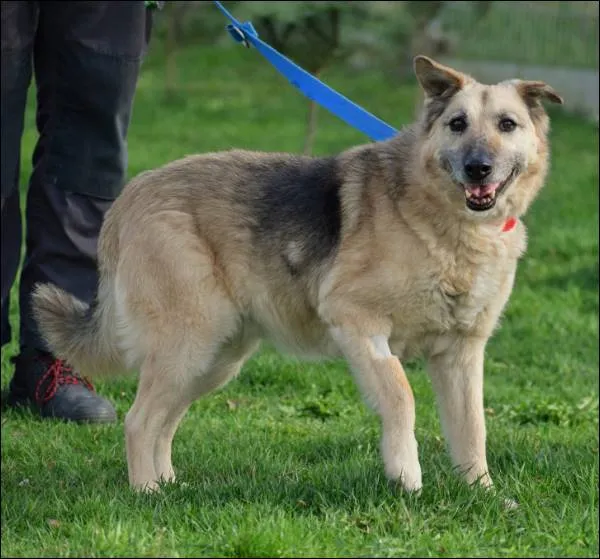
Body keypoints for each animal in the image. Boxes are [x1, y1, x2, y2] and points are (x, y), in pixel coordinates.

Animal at [30, 57, 564, 494]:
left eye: (507, 125)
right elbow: (401, 394)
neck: (443, 221)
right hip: (188, 345)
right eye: (457, 124)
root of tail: (128, 199)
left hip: (212, 358)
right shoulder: (358, 323)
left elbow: (472, 428)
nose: (478, 168)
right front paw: (406, 476)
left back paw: (167, 487)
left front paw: (482, 493)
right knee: (140, 421)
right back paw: (146, 495)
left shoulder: (460, 355)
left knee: (162, 422)